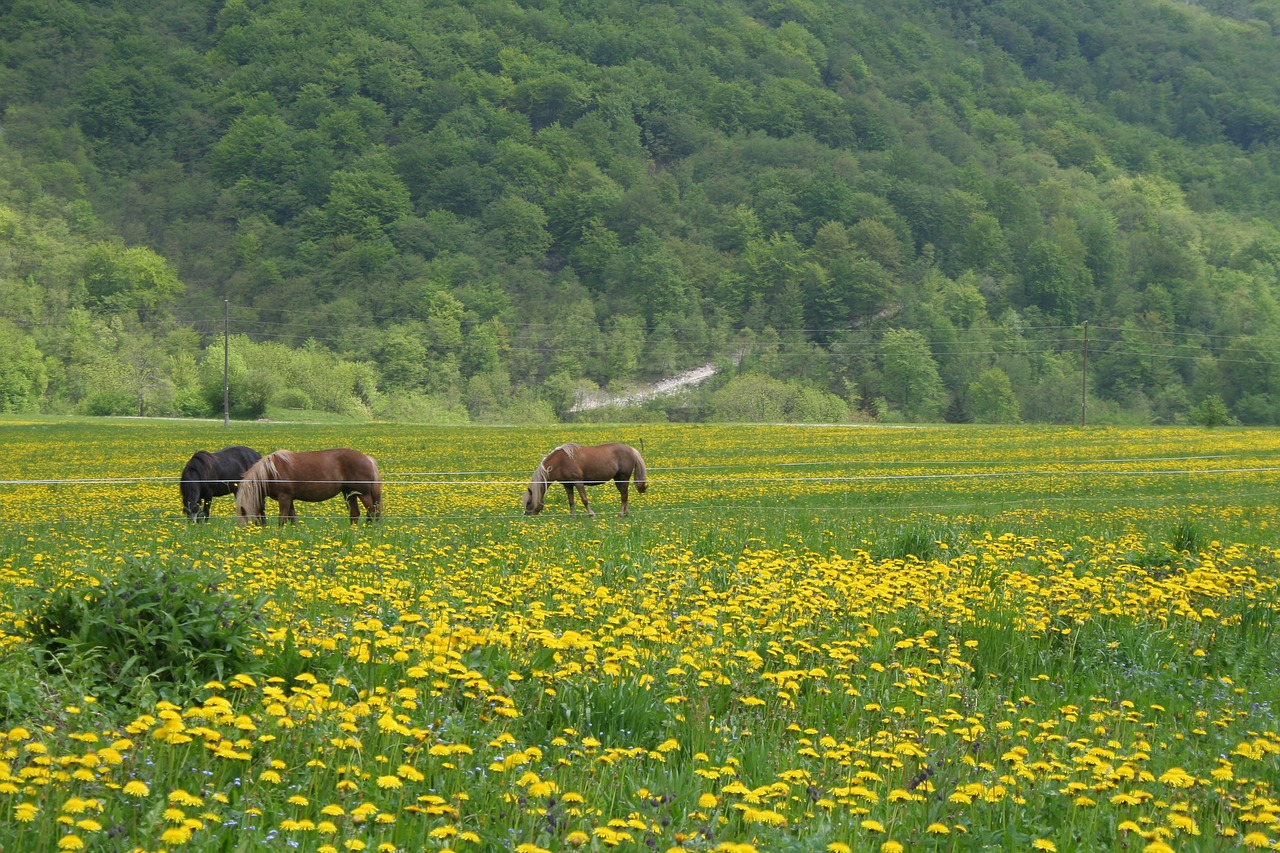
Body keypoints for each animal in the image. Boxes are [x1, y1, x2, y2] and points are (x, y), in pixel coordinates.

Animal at [235, 445, 381, 525]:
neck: (270, 472)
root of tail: (367, 458)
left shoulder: (284, 497)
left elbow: (282, 519)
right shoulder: (290, 499)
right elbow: (292, 518)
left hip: (363, 493)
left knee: (372, 511)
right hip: (349, 493)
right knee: (355, 513)